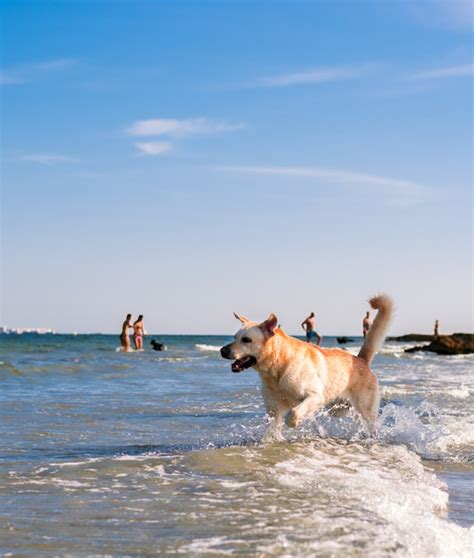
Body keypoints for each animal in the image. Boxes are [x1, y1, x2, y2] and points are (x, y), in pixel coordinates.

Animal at [220, 296, 390, 444]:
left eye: (246, 340)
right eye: (235, 337)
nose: (222, 350)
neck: (278, 368)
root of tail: (361, 359)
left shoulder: (314, 396)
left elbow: (294, 412)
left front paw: (293, 422)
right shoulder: (274, 409)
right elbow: (273, 428)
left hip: (365, 409)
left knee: (371, 425)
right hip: (339, 409)